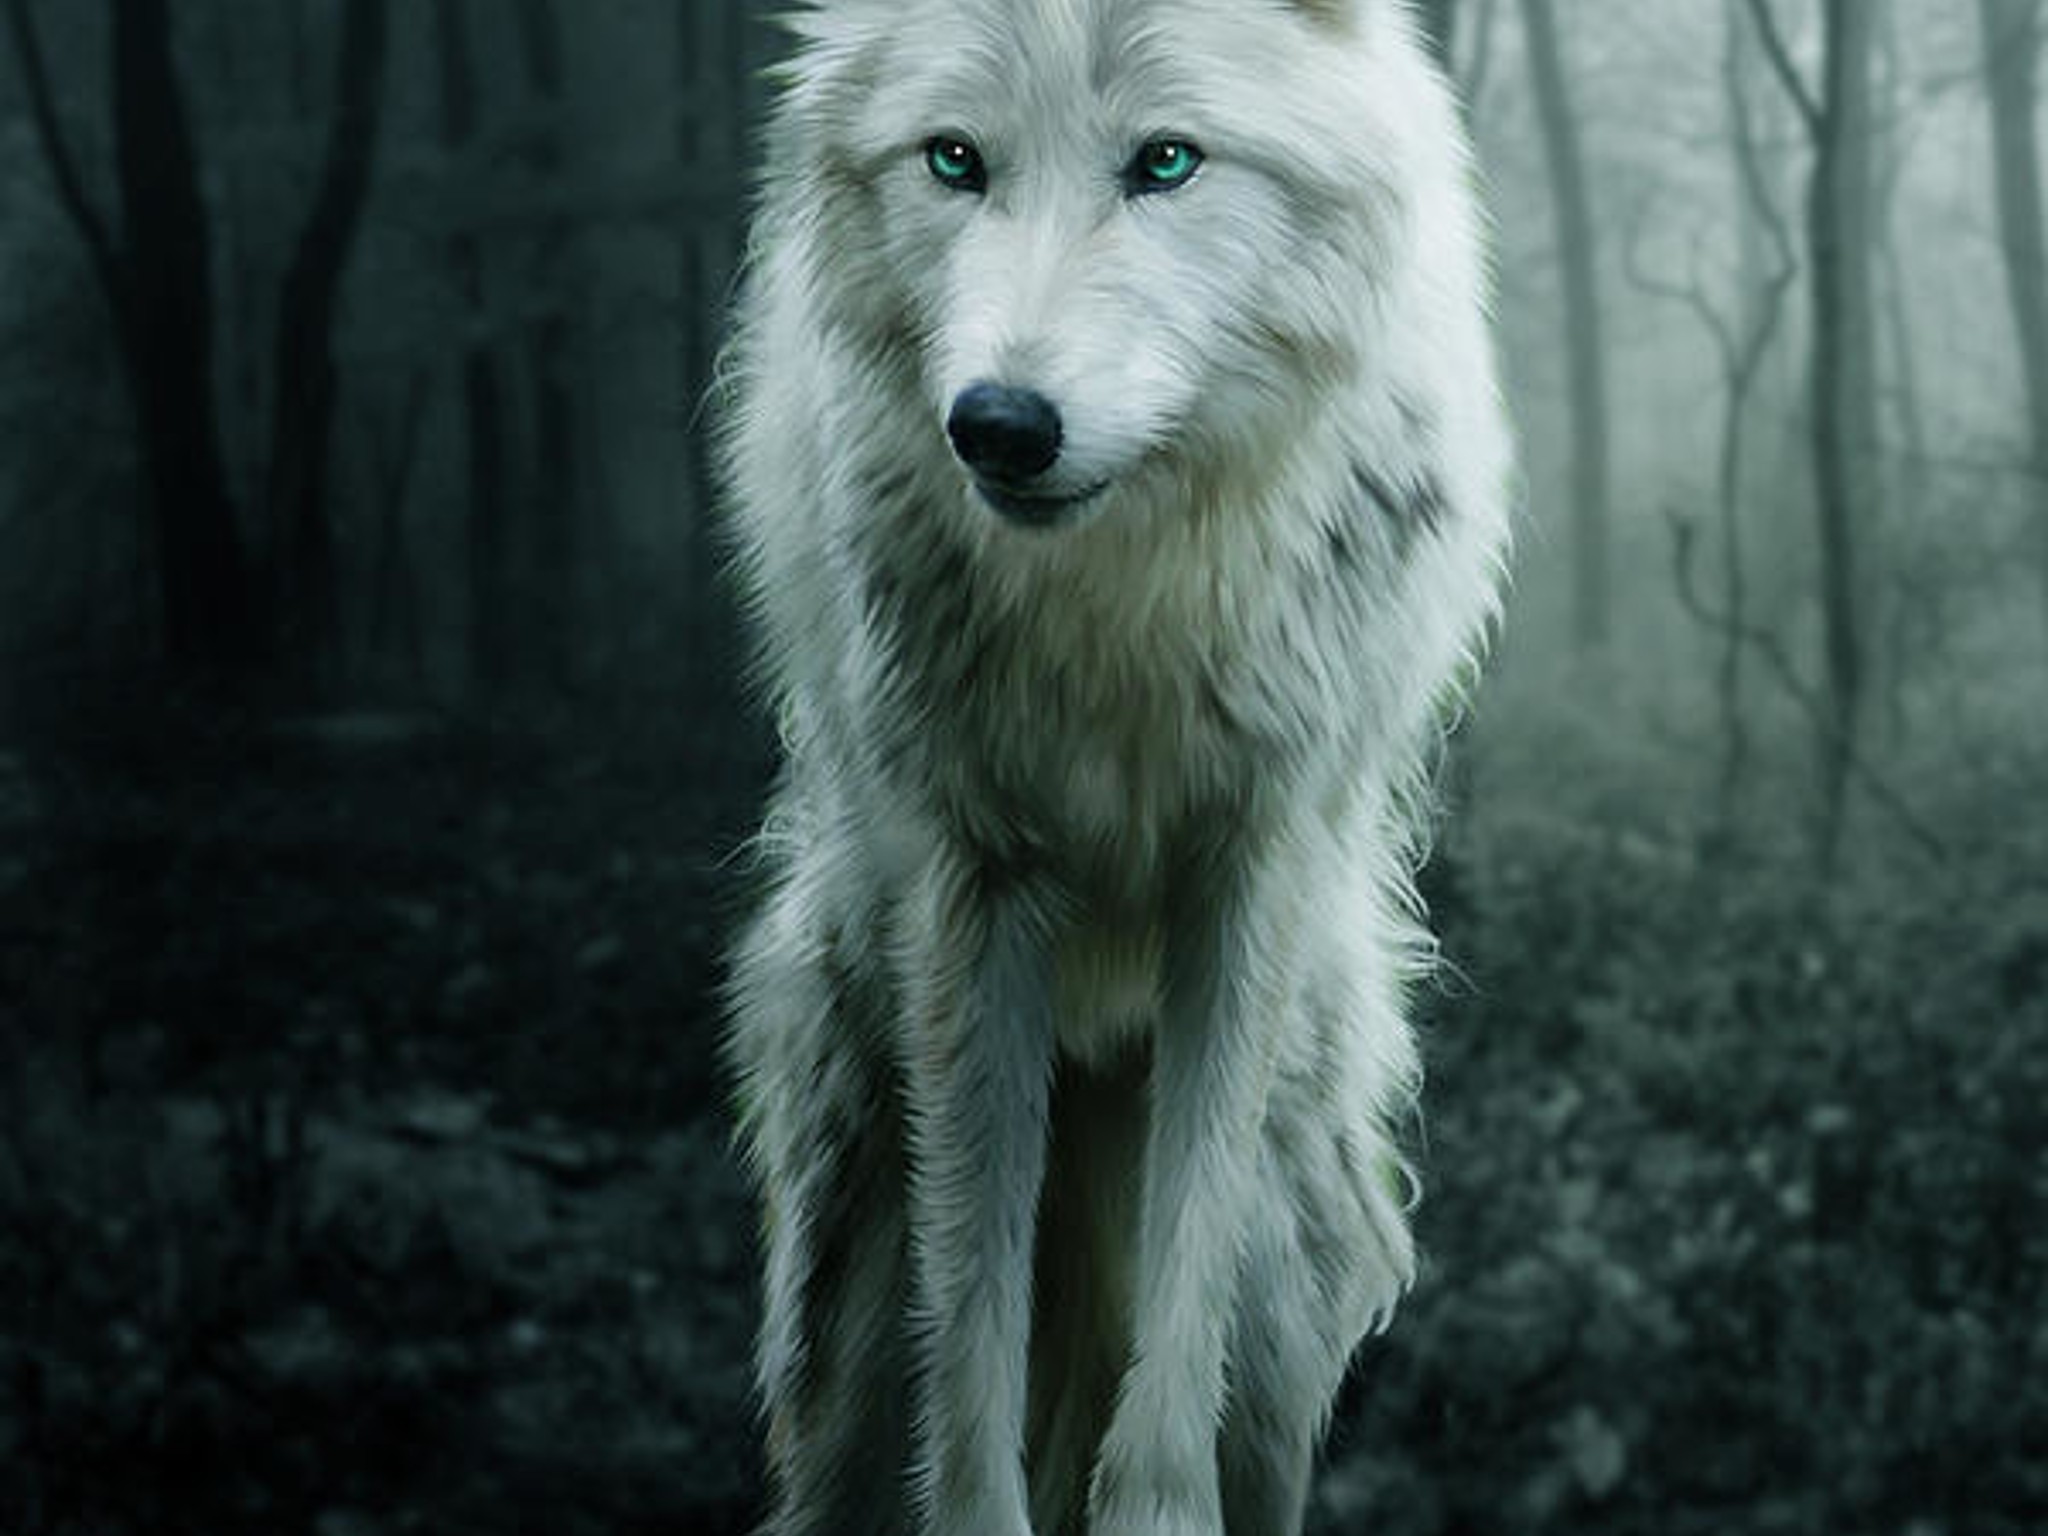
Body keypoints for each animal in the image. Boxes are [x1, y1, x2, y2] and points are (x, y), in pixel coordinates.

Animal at [718, 2, 1510, 1533]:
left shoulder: (1245, 878)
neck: (1126, 598)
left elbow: (1181, 1288)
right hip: (846, 1261)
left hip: (1284, 1284)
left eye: (1166, 161)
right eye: (953, 159)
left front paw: (1154, 1509)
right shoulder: (973, 894)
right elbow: (971, 1333)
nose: (1000, 424)